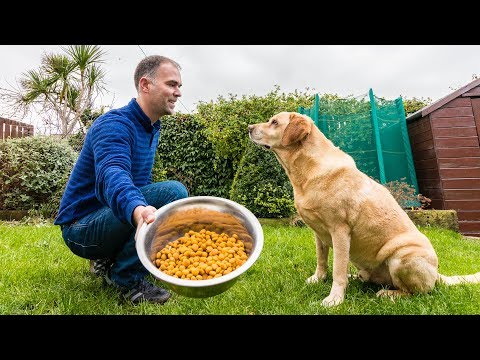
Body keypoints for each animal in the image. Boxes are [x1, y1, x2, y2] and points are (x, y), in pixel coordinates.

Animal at [248, 110, 480, 306]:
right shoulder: (317, 232)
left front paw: (334, 299)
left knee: (418, 292)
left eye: (274, 122)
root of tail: (437, 275)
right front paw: (318, 279)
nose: (249, 127)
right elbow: (322, 260)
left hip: (403, 257)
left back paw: (389, 294)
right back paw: (357, 277)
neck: (307, 170)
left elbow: (338, 268)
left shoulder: (340, 230)